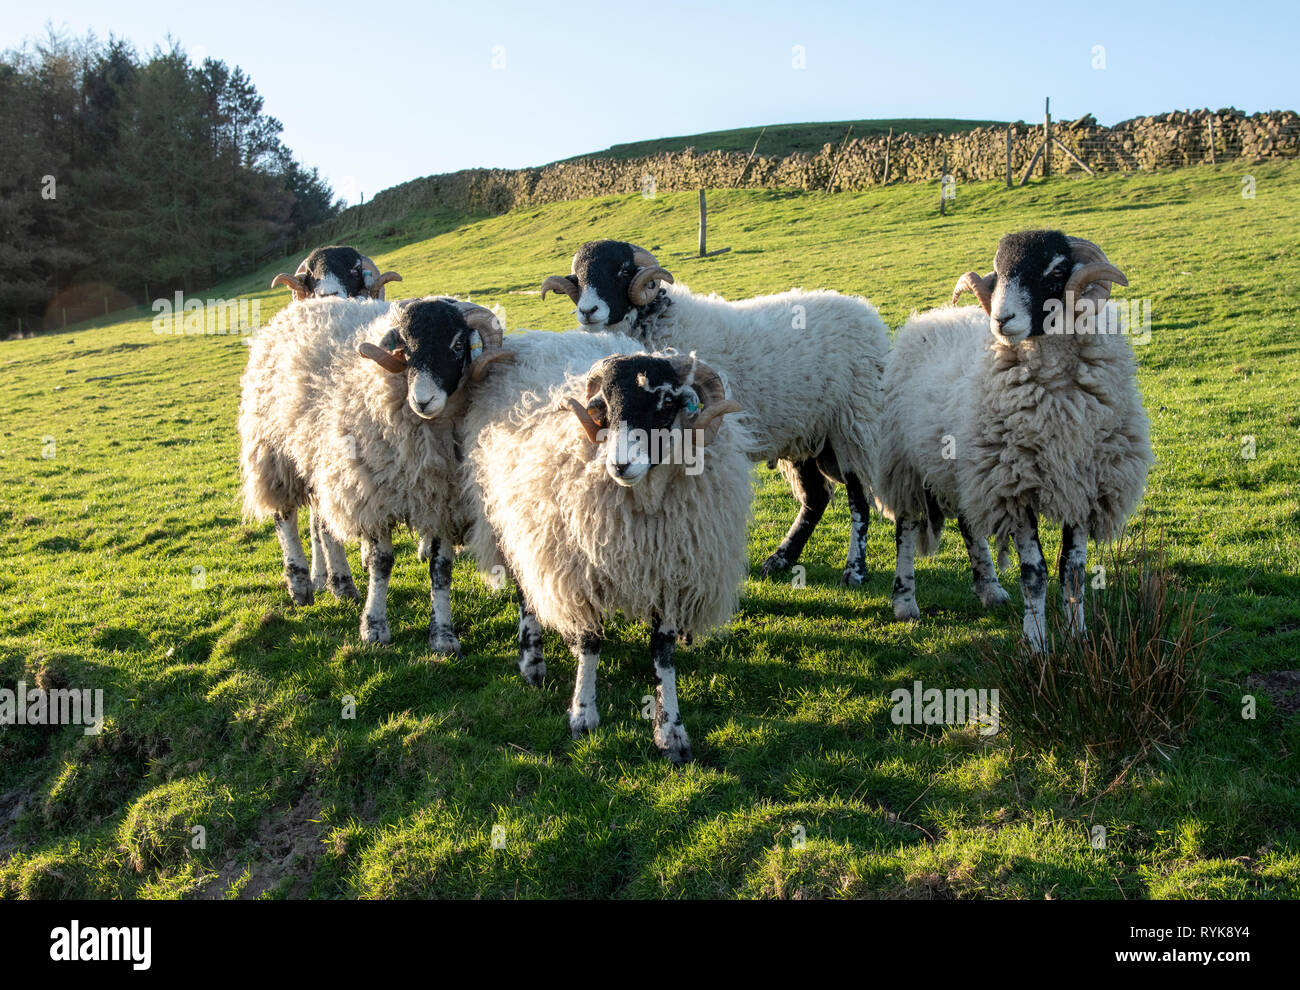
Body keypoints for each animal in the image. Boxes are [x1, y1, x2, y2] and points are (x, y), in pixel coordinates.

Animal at [240, 293, 512, 647]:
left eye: (456, 344)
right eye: (405, 348)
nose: (422, 401)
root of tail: (298, 308)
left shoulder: (440, 499)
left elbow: (440, 569)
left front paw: (443, 635)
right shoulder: (373, 495)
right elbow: (381, 563)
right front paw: (374, 626)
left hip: (326, 463)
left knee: (327, 526)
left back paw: (341, 584)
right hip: (275, 451)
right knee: (284, 517)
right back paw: (299, 584)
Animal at [460, 335, 754, 758]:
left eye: (667, 401)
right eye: (606, 405)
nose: (620, 465)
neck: (644, 502)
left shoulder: (670, 573)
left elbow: (663, 654)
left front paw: (671, 732)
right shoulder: (581, 572)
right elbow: (590, 642)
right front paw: (583, 715)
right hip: (511, 522)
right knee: (525, 591)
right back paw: (532, 660)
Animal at [538, 240, 894, 589]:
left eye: (623, 270)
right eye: (578, 276)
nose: (588, 311)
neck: (660, 322)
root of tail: (866, 313)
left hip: (853, 426)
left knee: (858, 502)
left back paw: (854, 571)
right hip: (804, 432)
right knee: (816, 498)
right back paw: (781, 559)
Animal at [868, 227, 1154, 652]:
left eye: (1056, 271)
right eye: (999, 272)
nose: (1001, 319)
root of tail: (935, 315)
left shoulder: (1083, 485)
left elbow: (1073, 569)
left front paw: (1078, 638)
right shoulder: (1016, 487)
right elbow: (1035, 574)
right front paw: (1037, 645)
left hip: (967, 469)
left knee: (970, 524)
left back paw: (989, 588)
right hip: (903, 462)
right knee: (906, 526)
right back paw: (905, 602)